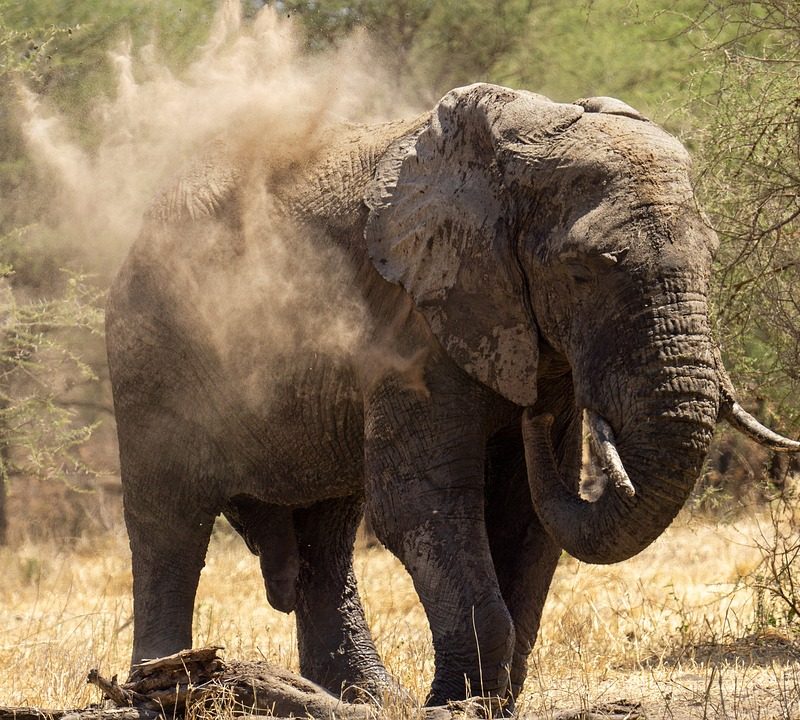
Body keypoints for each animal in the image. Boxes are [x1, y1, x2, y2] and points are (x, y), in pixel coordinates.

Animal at [106, 83, 800, 708]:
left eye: (712, 257)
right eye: (582, 272)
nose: (533, 413)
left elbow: (526, 514)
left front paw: (486, 701)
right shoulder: (413, 318)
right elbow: (420, 502)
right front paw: (458, 705)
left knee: (328, 532)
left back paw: (367, 699)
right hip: (150, 351)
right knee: (169, 523)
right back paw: (160, 689)